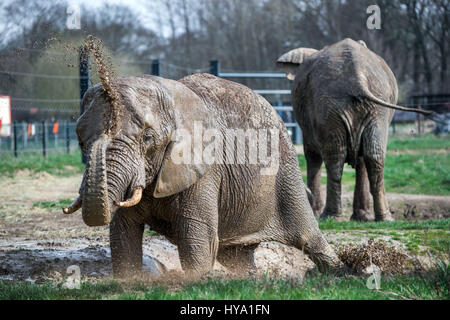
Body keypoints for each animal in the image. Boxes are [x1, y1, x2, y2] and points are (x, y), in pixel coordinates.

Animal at [61, 73, 340, 278]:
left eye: (148, 138)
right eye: (80, 141)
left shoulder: (205, 167)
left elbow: (195, 233)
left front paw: (195, 281)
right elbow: (123, 232)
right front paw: (128, 282)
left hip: (285, 168)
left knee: (308, 235)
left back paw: (339, 273)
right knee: (235, 255)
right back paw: (250, 278)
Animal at [276, 38, 430, 221]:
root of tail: (357, 75)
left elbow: (312, 155)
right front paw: (361, 217)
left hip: (336, 105)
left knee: (336, 157)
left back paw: (329, 216)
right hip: (371, 107)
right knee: (373, 155)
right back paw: (382, 218)